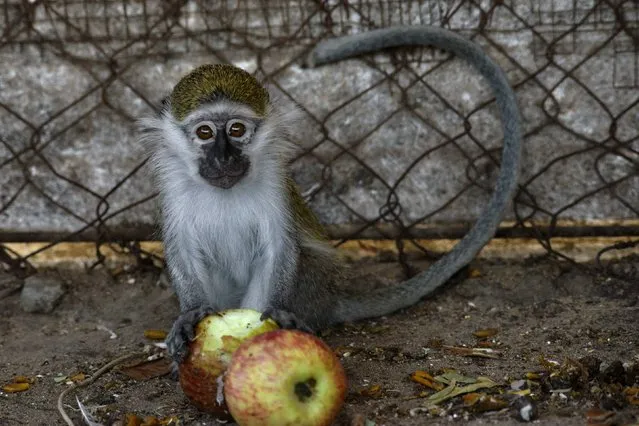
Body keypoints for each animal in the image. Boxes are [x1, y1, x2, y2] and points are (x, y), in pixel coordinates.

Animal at [140, 25, 520, 362]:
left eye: (236, 129)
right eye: (205, 132)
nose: (223, 157)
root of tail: (328, 300)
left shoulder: (275, 182)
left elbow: (279, 248)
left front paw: (273, 318)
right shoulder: (172, 188)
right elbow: (183, 250)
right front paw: (191, 313)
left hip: (311, 284)